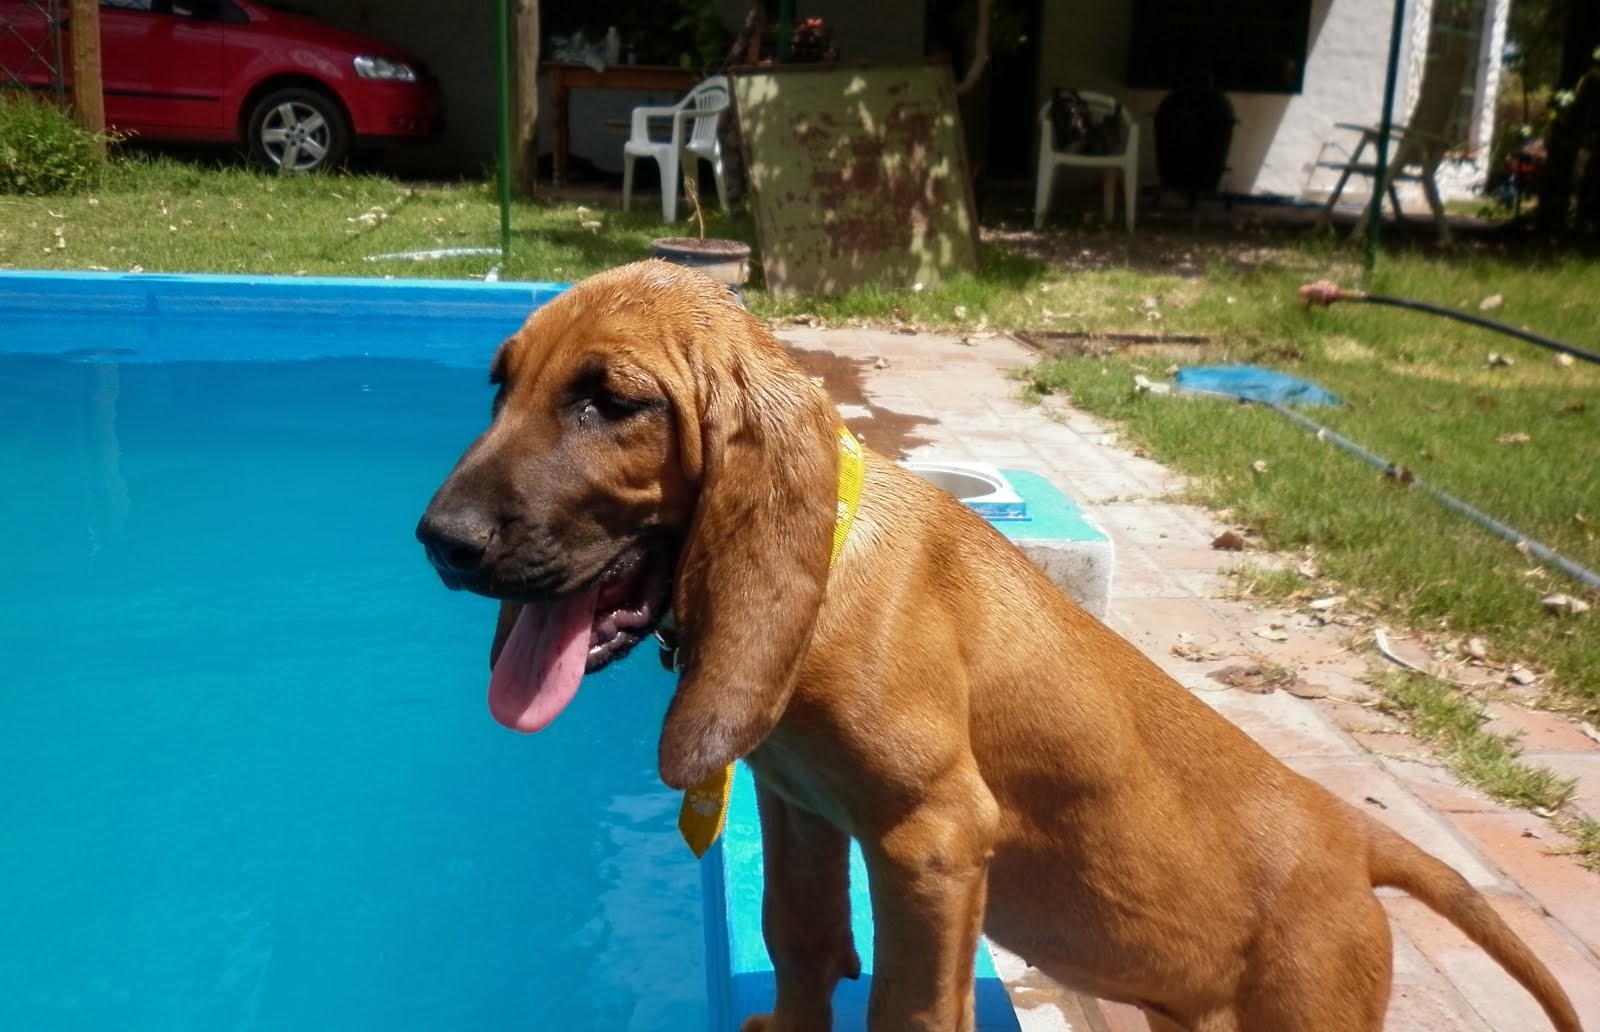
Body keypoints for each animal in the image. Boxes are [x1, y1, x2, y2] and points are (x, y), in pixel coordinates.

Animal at [416, 259, 1587, 1030]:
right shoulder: (799, 806)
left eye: (611, 401)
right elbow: (800, 942)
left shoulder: (933, 844)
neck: (829, 572)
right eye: (501, 384)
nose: (439, 540)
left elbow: (909, 1010)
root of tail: (1355, 836)